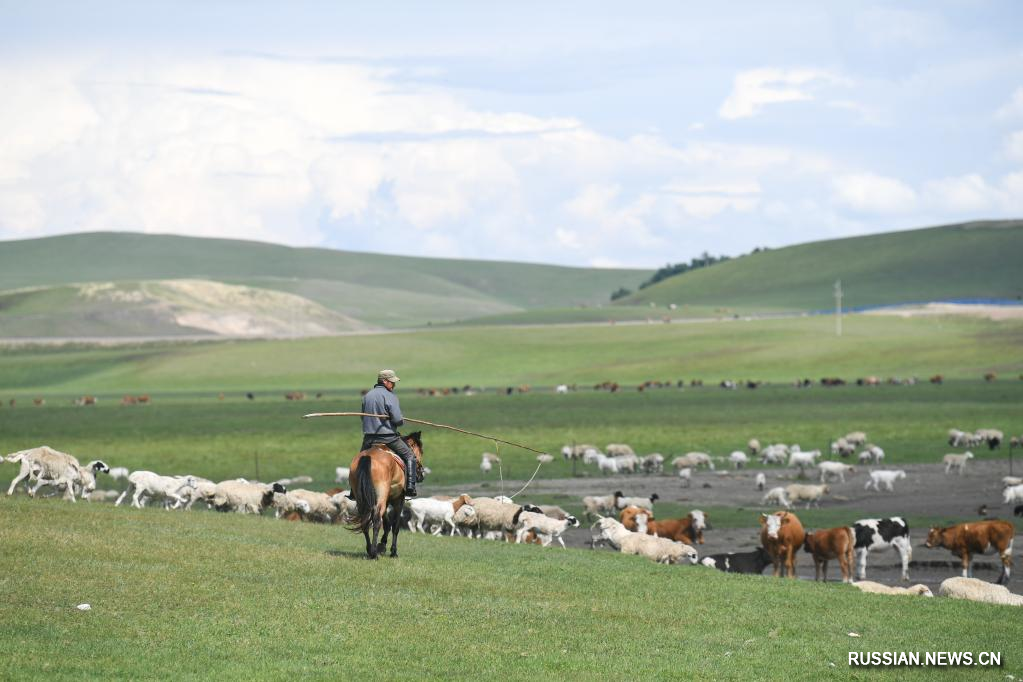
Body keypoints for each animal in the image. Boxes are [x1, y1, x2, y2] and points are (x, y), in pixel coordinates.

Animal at [345, 431, 421, 560]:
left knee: (365, 521)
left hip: (363, 499)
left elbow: (387, 523)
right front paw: (393, 551)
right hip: (382, 497)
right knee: (376, 521)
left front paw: (382, 545)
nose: (421, 474)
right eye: (420, 452)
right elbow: (395, 526)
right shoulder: (398, 500)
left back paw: (370, 549)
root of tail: (367, 457)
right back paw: (374, 554)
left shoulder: (386, 500)